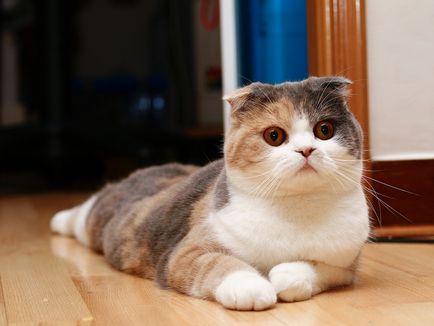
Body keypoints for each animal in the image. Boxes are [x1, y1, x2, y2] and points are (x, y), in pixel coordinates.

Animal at [50, 76, 370, 310]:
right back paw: (58, 220)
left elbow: (314, 267)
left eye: (324, 130)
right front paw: (253, 287)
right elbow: (221, 264)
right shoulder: (186, 253)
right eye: (274, 135)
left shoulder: (345, 266)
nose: (306, 150)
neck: (296, 209)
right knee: (85, 211)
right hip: (100, 221)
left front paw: (286, 278)